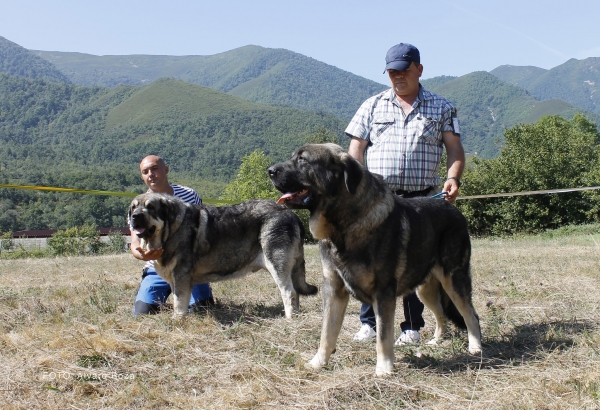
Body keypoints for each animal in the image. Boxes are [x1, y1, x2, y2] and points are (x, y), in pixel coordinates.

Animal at [270, 143, 480, 374]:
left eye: (303, 160)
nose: (270, 171)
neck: (345, 224)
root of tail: (454, 210)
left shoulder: (383, 292)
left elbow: (383, 335)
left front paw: (384, 368)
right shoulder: (333, 289)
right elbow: (327, 332)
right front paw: (318, 362)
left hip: (453, 280)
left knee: (471, 314)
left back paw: (475, 347)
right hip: (425, 289)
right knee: (441, 314)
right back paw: (436, 341)